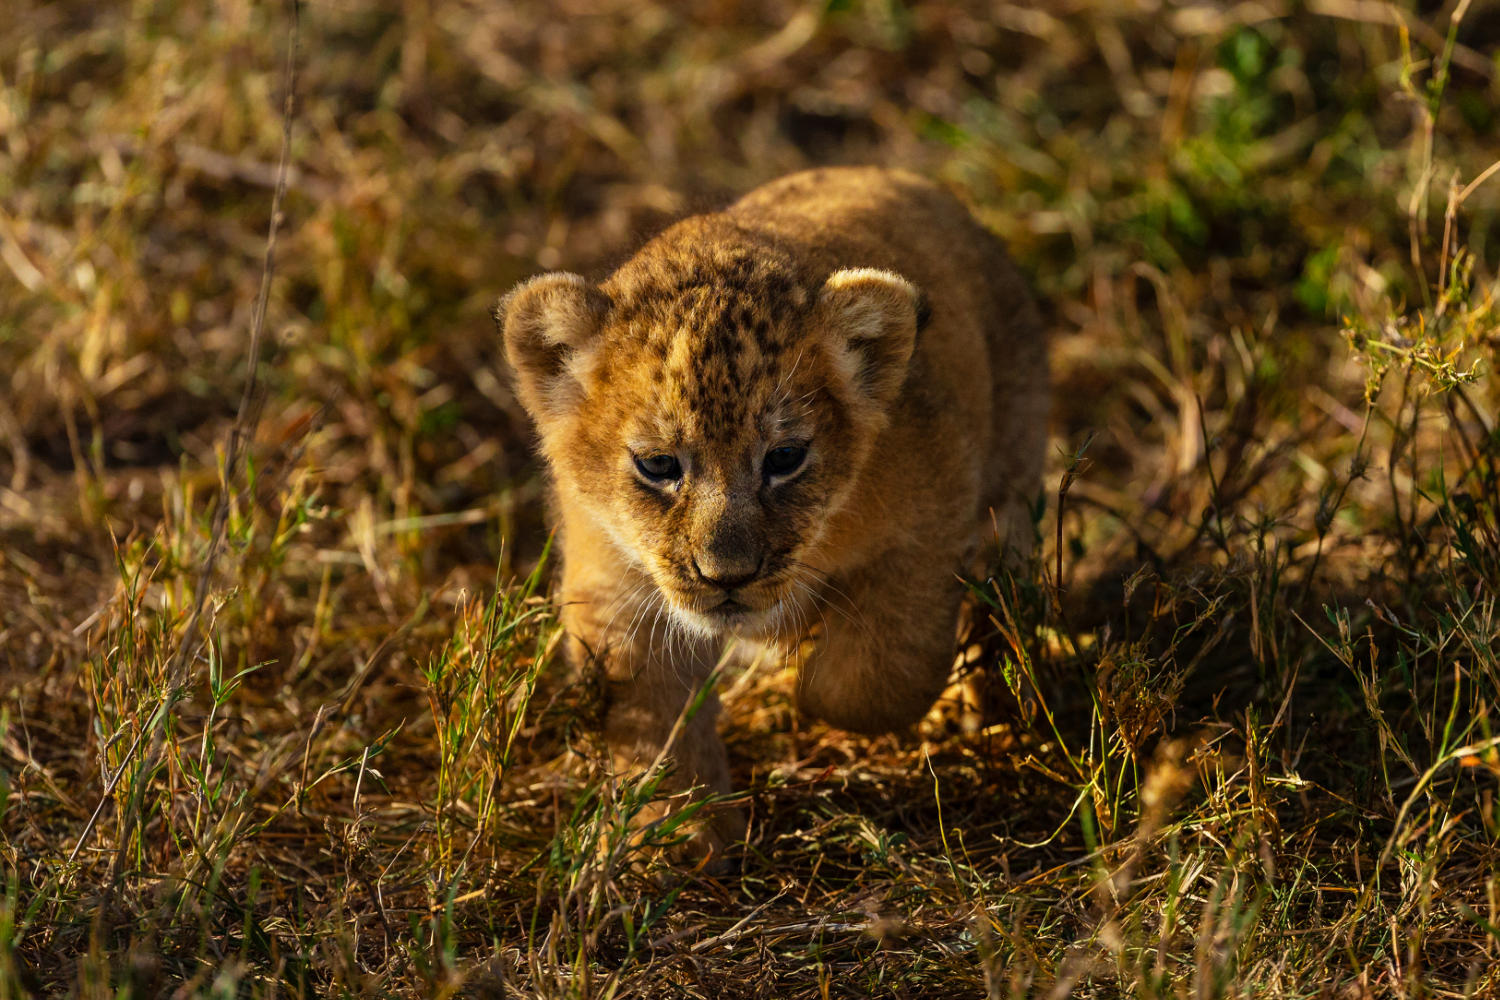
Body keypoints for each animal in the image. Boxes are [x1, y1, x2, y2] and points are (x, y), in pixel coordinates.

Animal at [497, 167, 1048, 861]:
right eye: (657, 465)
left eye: (785, 457)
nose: (727, 576)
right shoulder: (616, 590)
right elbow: (649, 726)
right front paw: (680, 838)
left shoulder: (933, 511)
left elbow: (881, 676)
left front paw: (807, 675)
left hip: (1013, 474)